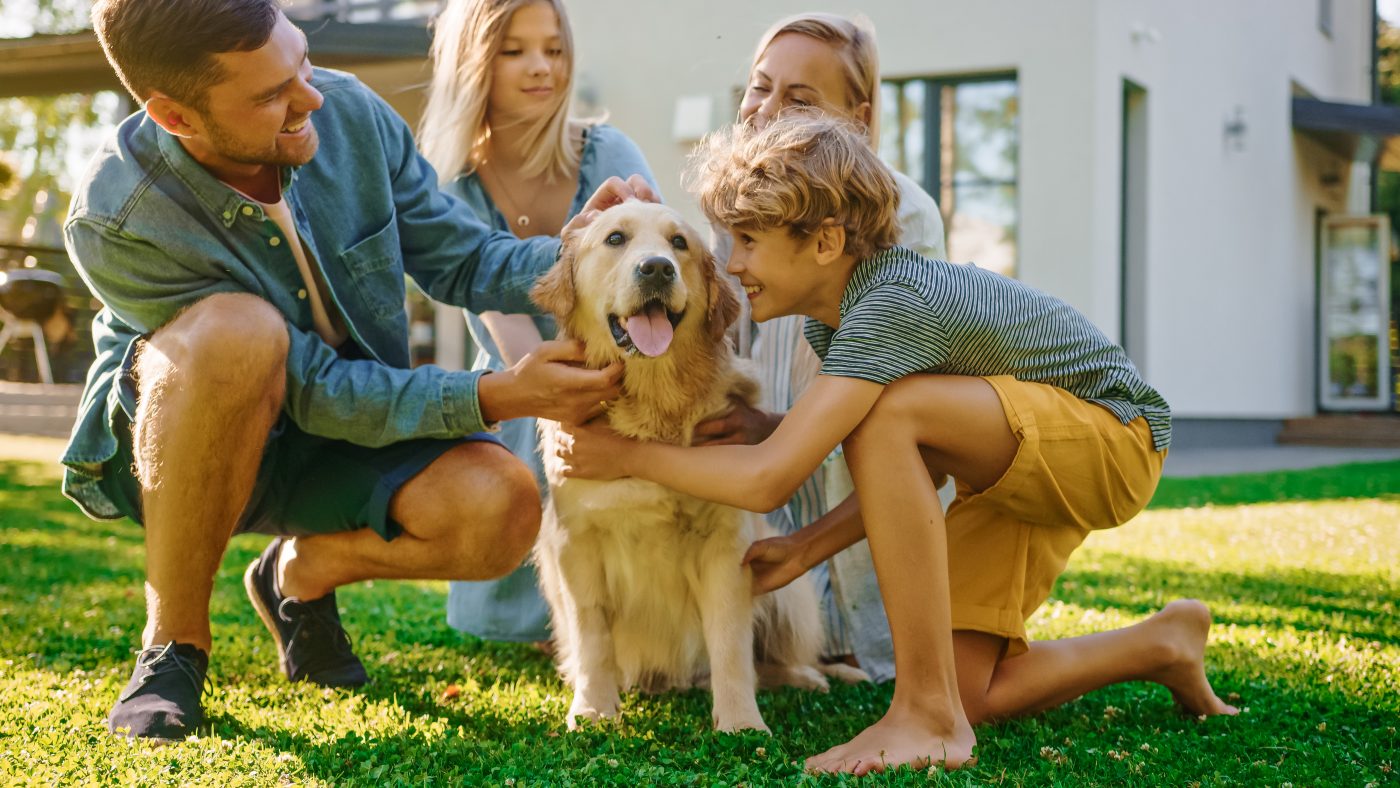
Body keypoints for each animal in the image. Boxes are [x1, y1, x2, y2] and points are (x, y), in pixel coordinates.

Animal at [526, 198, 862, 733]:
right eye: (615, 238)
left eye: (679, 243)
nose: (657, 268)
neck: (652, 402)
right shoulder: (575, 544)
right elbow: (592, 634)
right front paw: (594, 707)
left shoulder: (726, 546)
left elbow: (730, 641)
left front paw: (741, 722)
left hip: (792, 594)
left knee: (778, 658)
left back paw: (813, 676)